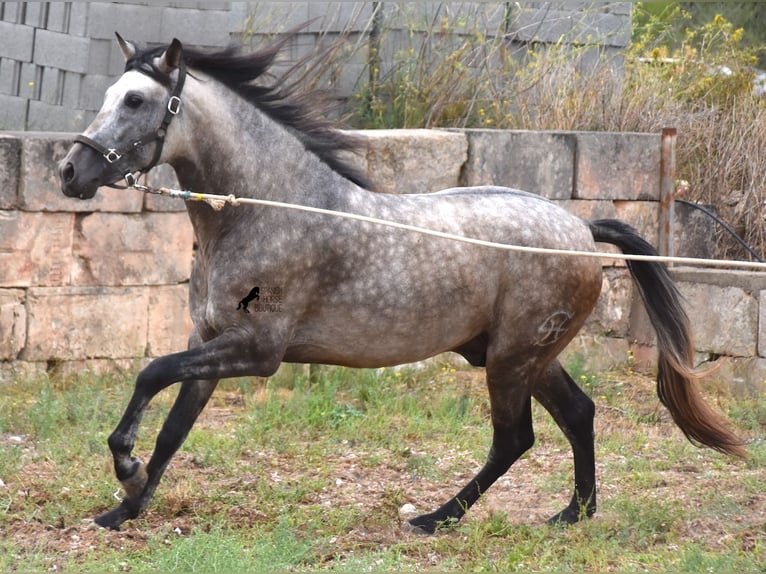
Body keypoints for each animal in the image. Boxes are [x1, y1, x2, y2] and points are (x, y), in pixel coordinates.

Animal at [57, 32, 748, 536]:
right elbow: (173, 428)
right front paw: (122, 509)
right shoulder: (209, 345)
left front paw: (125, 467)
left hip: (511, 360)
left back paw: (435, 520)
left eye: (136, 101)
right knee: (579, 413)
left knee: (515, 438)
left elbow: (149, 375)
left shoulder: (257, 352)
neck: (269, 210)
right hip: (521, 355)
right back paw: (571, 515)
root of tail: (580, 225)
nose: (70, 171)